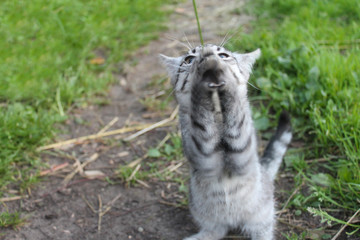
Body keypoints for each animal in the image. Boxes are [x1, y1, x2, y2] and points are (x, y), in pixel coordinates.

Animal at [160, 43, 292, 240]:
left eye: (223, 55)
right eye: (188, 59)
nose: (206, 54)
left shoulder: (243, 154)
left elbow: (235, 108)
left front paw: (226, 78)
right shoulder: (204, 156)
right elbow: (201, 114)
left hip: (261, 217)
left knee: (261, 233)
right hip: (205, 215)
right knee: (216, 231)